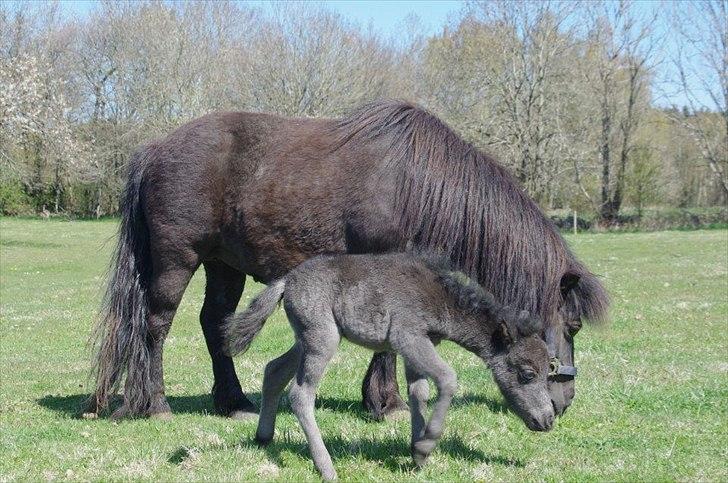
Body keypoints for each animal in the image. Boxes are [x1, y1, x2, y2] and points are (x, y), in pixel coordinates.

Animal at [89, 100, 608, 422]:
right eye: (573, 327)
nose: (564, 400)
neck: (418, 185)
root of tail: (154, 150)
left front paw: (379, 399)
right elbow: (388, 341)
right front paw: (387, 403)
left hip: (224, 264)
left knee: (216, 323)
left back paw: (234, 402)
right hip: (177, 259)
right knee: (156, 324)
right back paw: (155, 404)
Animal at [225, 253, 556, 480]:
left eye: (549, 369)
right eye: (527, 373)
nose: (548, 419)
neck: (440, 296)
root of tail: (287, 279)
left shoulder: (419, 346)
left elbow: (419, 392)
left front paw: (417, 453)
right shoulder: (408, 337)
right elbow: (447, 378)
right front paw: (426, 446)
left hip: (306, 339)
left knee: (274, 370)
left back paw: (264, 437)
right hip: (323, 339)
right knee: (300, 394)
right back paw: (326, 467)